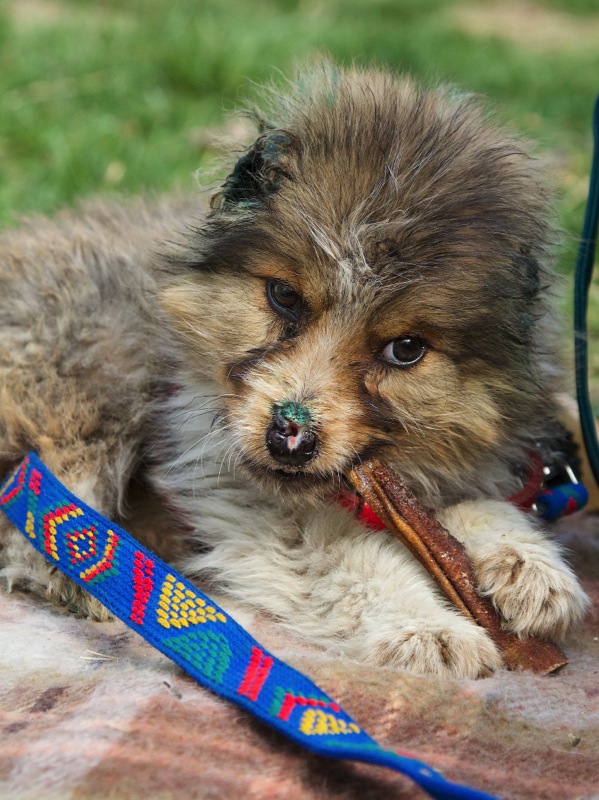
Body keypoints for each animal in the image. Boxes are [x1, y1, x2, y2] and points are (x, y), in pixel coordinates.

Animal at [0, 63, 589, 678]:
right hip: (94, 366)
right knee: (43, 511)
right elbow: (344, 554)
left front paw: (525, 562)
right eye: (284, 297)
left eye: (405, 349)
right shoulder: (235, 488)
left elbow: (467, 508)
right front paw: (423, 627)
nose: (289, 435)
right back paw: (99, 571)